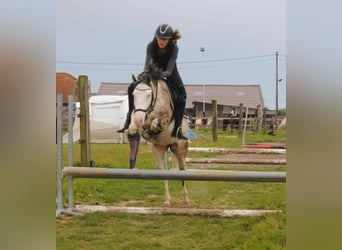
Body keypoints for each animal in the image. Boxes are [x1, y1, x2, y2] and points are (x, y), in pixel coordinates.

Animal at [127, 66, 188, 207]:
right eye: (134, 95)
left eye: (149, 95)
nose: (139, 119)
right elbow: (134, 127)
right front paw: (138, 129)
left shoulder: (165, 120)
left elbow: (156, 123)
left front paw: (151, 130)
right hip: (159, 150)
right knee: (164, 173)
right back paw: (167, 200)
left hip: (180, 149)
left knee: (183, 169)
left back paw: (186, 198)